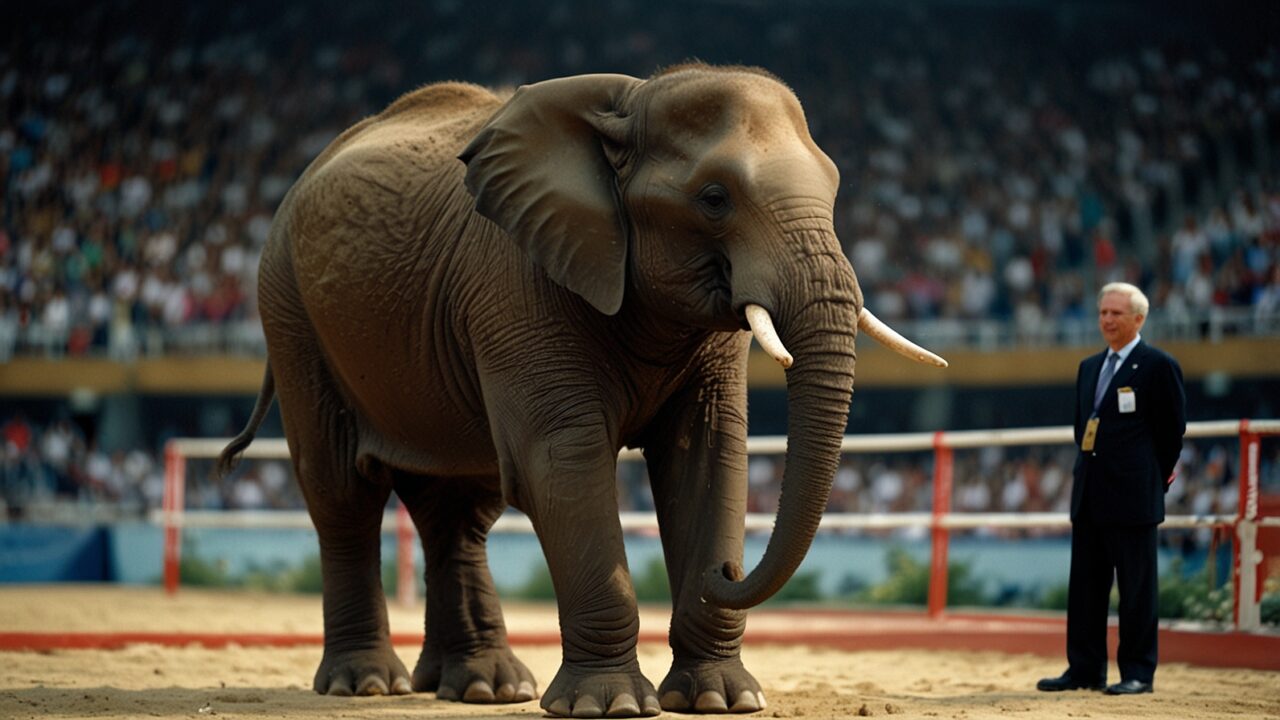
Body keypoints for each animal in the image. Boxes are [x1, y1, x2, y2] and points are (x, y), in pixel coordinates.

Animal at [218, 63, 946, 717]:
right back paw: (368, 685)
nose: (728, 573)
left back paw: (482, 688)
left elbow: (707, 457)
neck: (631, 104)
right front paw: (611, 706)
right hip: (289, 310)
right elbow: (562, 459)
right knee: (344, 493)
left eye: (834, 190)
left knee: (456, 509)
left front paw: (720, 700)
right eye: (714, 198)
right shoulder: (516, 277)